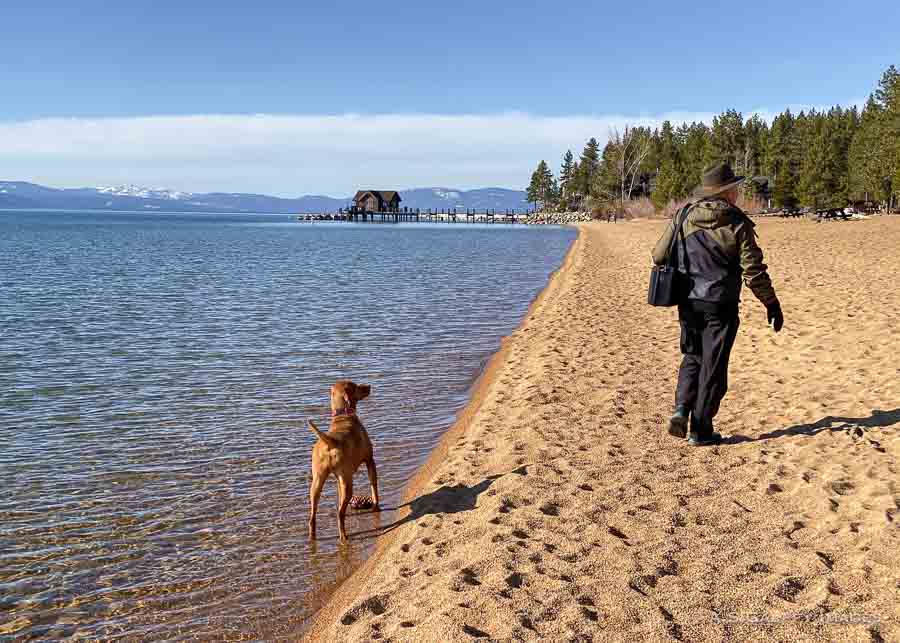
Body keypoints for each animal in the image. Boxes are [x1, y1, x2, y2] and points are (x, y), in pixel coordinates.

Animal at [308, 382, 378, 544]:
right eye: (357, 386)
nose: (369, 386)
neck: (343, 415)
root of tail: (330, 442)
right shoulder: (370, 460)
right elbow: (374, 487)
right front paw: (376, 507)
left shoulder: (337, 479)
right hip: (348, 483)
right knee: (340, 514)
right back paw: (344, 537)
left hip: (317, 483)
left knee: (313, 516)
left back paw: (312, 537)